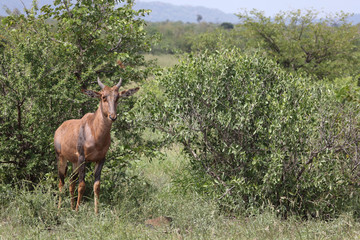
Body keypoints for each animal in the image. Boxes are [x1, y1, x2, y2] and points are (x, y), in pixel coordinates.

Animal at [54, 77, 140, 214]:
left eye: (117, 97)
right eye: (103, 97)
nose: (112, 116)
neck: (94, 131)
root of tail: (60, 128)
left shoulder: (100, 159)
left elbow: (97, 185)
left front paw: (96, 212)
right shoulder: (82, 158)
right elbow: (82, 185)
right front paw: (78, 211)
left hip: (74, 162)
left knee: (71, 181)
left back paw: (71, 207)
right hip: (61, 158)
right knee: (61, 182)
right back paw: (59, 209)